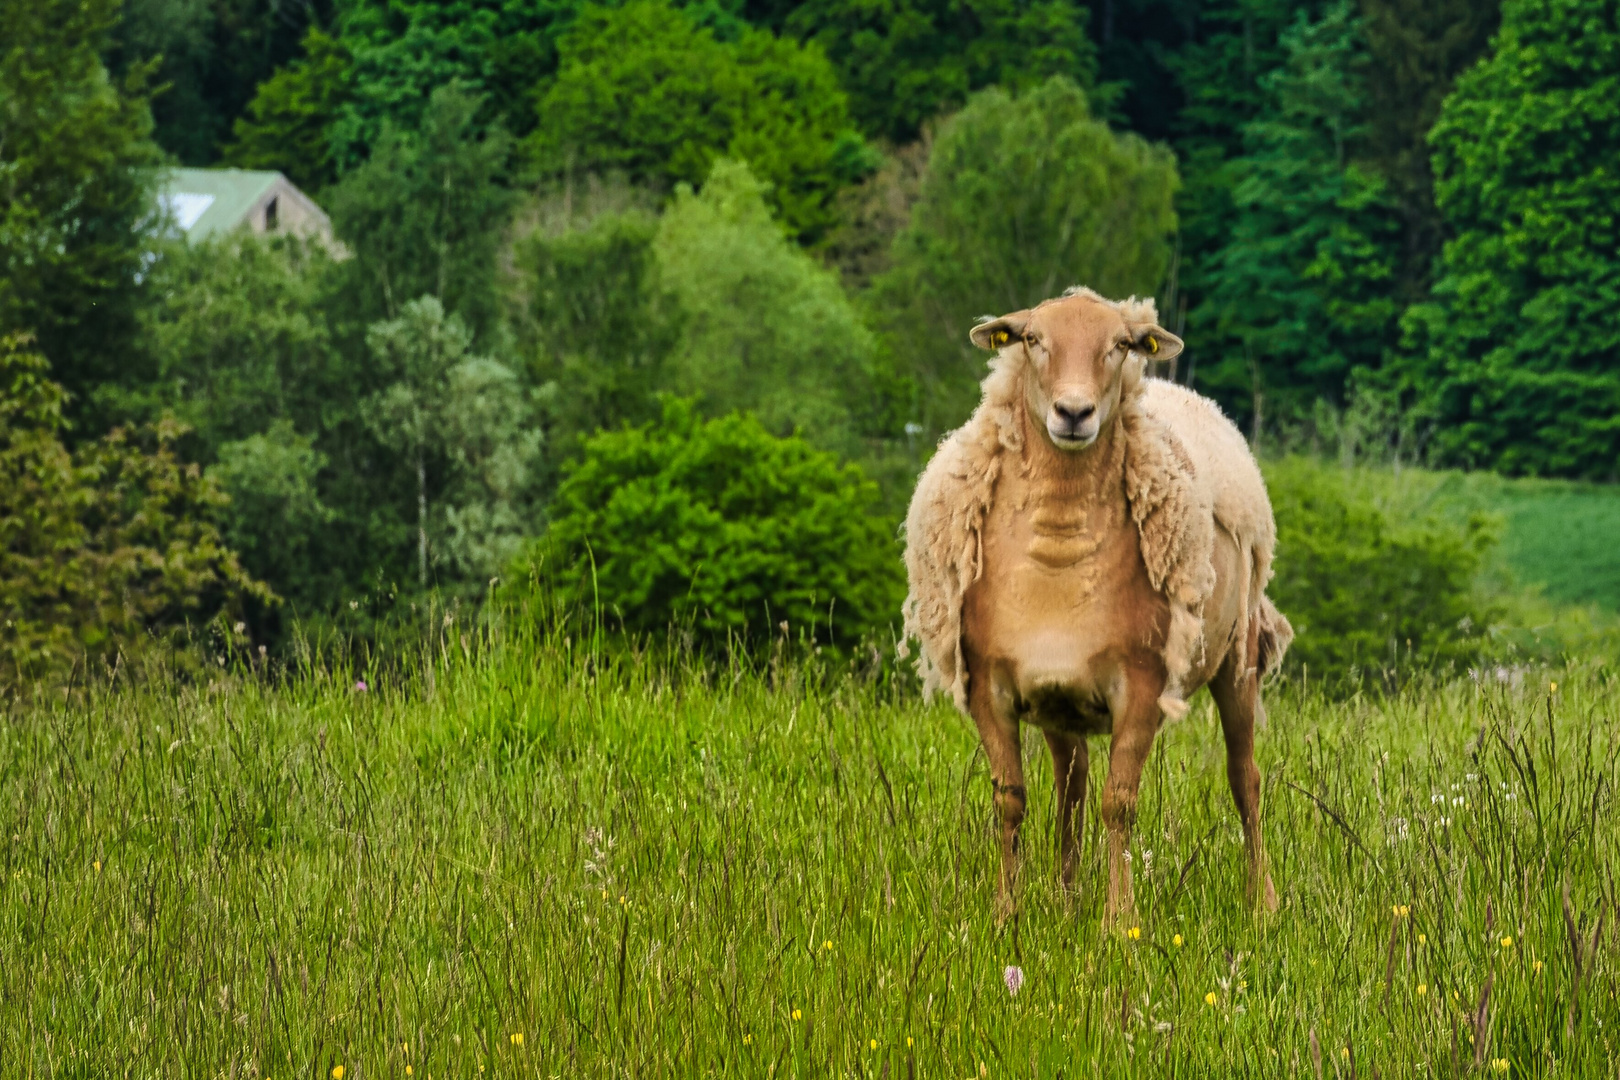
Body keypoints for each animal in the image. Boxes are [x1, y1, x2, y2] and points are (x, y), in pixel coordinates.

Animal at [900, 286, 1289, 932]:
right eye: (1032, 339)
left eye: (1122, 345)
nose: (1074, 413)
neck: (1058, 551)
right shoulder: (991, 686)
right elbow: (1011, 800)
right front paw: (1005, 915)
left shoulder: (1142, 684)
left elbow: (1119, 805)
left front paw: (1118, 923)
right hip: (1061, 700)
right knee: (1071, 782)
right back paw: (1066, 899)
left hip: (1237, 662)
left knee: (1245, 778)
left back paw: (1262, 902)